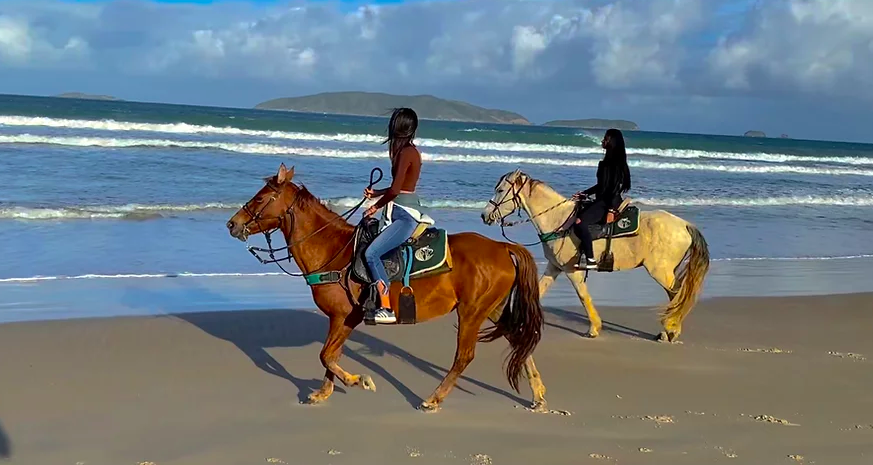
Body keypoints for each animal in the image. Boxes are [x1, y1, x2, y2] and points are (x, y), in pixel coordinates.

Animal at [228, 163, 548, 410]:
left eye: (261, 198)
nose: (232, 224)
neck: (333, 250)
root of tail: (502, 246)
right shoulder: (342, 319)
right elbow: (332, 354)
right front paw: (323, 392)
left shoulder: (345, 316)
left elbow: (327, 355)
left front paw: (358, 380)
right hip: (492, 308)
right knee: (520, 343)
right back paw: (539, 396)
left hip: (472, 311)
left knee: (465, 356)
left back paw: (434, 398)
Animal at [480, 169, 712, 340]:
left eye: (500, 190)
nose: (484, 215)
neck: (559, 220)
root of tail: (684, 225)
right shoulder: (554, 267)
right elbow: (539, 290)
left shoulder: (571, 269)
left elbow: (583, 296)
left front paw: (594, 329)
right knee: (677, 297)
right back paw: (669, 330)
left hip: (660, 271)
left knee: (678, 295)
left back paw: (670, 330)